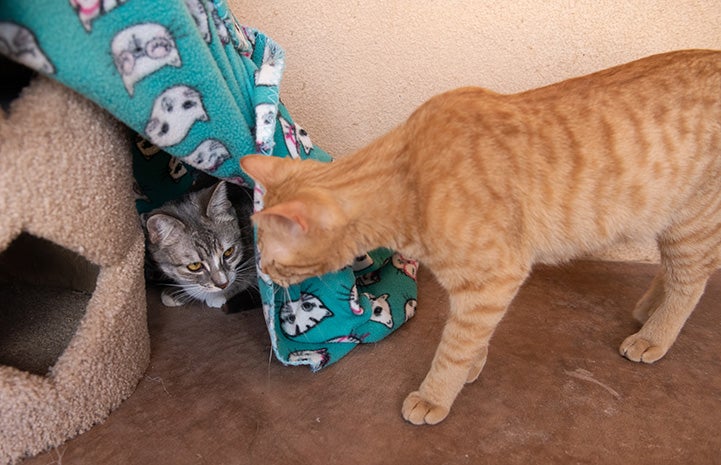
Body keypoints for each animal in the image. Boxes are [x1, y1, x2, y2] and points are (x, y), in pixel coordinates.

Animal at [239, 49, 720, 424]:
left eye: (271, 258)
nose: (263, 275)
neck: (408, 178)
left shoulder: (496, 278)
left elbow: (456, 343)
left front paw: (436, 393)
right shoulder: (485, 288)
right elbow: (475, 334)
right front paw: (474, 363)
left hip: (691, 223)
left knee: (691, 282)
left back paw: (655, 334)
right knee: (673, 271)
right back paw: (648, 308)